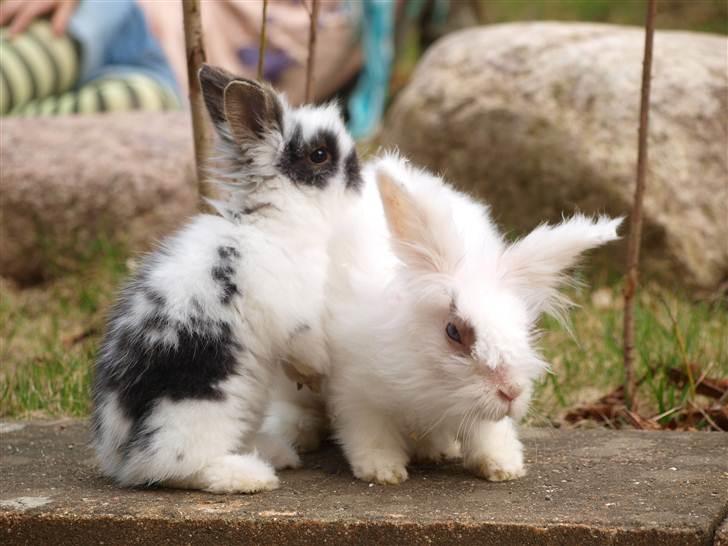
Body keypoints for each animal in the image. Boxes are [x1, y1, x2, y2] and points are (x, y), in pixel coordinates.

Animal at [91, 65, 364, 492]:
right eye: (319, 154)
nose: (359, 173)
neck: (274, 220)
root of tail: (122, 458)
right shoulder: (295, 310)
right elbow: (307, 346)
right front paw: (316, 373)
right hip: (203, 411)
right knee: (174, 469)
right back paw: (250, 475)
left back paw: (275, 453)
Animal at [322, 153, 624, 480]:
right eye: (453, 331)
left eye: (526, 329)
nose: (511, 392)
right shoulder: (357, 394)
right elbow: (372, 435)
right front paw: (383, 471)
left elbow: (488, 433)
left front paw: (503, 467)